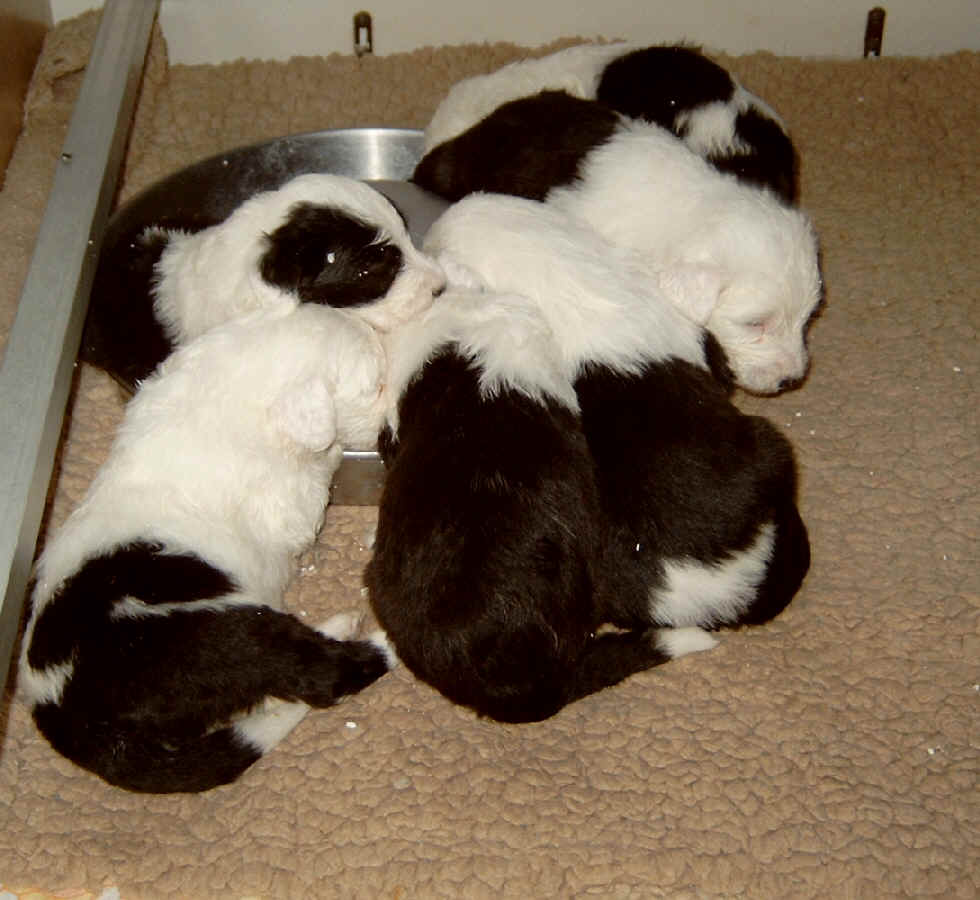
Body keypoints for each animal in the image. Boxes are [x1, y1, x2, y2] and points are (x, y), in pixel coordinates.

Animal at [19, 301, 404, 793]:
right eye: (374, 385)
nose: (394, 422)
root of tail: (60, 708)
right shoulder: (288, 501)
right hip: (224, 636)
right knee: (319, 675)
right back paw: (376, 634)